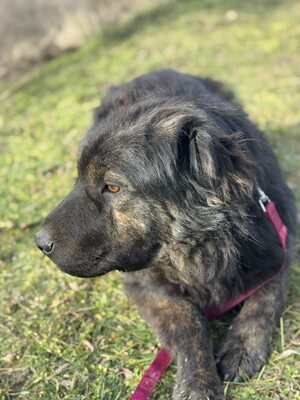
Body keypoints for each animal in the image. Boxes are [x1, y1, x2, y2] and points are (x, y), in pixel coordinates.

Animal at [35, 70, 298, 398]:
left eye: (113, 187)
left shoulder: (279, 247)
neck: (207, 248)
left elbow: (266, 297)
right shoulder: (147, 285)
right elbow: (188, 323)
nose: (40, 242)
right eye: (79, 178)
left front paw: (242, 345)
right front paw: (197, 381)